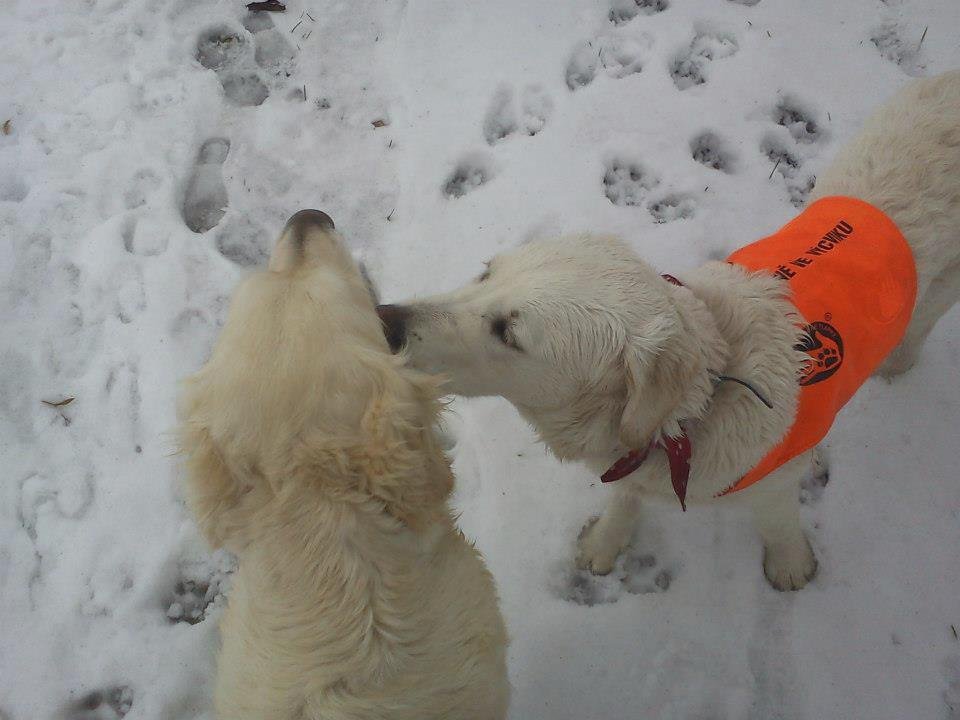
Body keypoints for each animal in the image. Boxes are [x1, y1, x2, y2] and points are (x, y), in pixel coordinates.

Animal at [376, 71, 960, 592]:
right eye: (485, 273)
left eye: (508, 333)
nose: (386, 322)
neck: (692, 414)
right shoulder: (631, 464)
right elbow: (624, 497)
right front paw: (605, 543)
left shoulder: (770, 485)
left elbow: (777, 521)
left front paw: (790, 565)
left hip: (944, 282)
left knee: (924, 319)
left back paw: (898, 362)